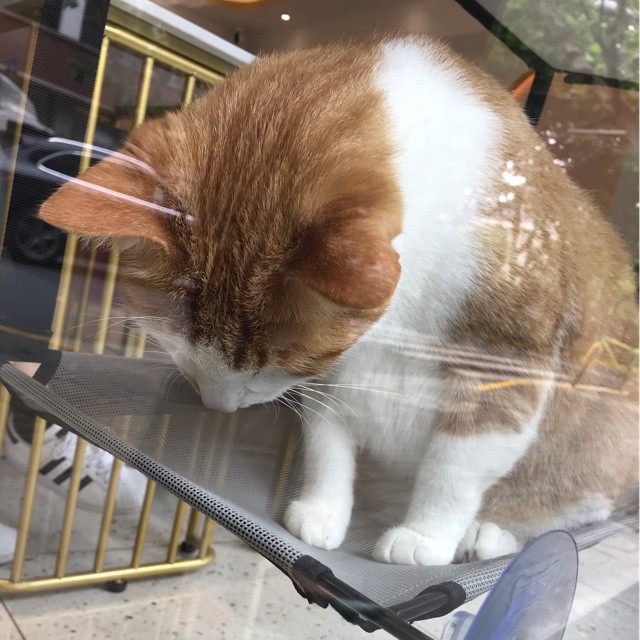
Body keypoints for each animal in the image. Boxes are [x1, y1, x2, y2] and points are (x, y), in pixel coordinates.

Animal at [39, 36, 638, 565]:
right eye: (184, 358)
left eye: (267, 370)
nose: (220, 408)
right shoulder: (333, 379)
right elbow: (327, 443)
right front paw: (324, 508)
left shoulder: (508, 363)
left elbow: (456, 464)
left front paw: (427, 535)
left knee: (575, 504)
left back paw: (493, 531)